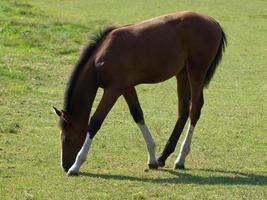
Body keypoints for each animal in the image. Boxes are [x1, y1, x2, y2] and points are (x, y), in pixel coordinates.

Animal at [54, 11, 226, 176]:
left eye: (67, 139)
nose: (64, 165)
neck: (102, 57)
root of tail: (214, 22)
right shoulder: (127, 88)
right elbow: (138, 114)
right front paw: (152, 159)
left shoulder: (113, 90)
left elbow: (95, 122)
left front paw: (76, 166)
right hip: (182, 74)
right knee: (183, 111)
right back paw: (163, 157)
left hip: (196, 72)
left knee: (194, 110)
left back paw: (181, 159)